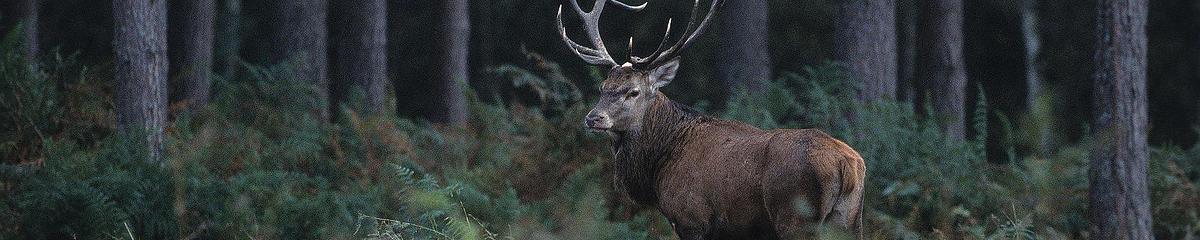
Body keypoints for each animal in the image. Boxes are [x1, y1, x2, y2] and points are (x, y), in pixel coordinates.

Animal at [556, 0, 868, 237]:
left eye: (633, 91)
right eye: (602, 88)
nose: (593, 118)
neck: (659, 162)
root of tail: (848, 165)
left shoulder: (690, 218)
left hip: (795, 218)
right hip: (850, 221)